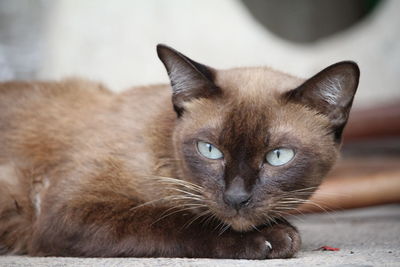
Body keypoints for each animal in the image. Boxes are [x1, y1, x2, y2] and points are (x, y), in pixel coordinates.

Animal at [0, 44, 360, 260]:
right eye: (210, 150)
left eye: (278, 156)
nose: (237, 198)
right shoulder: (74, 210)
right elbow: (173, 218)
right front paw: (274, 237)